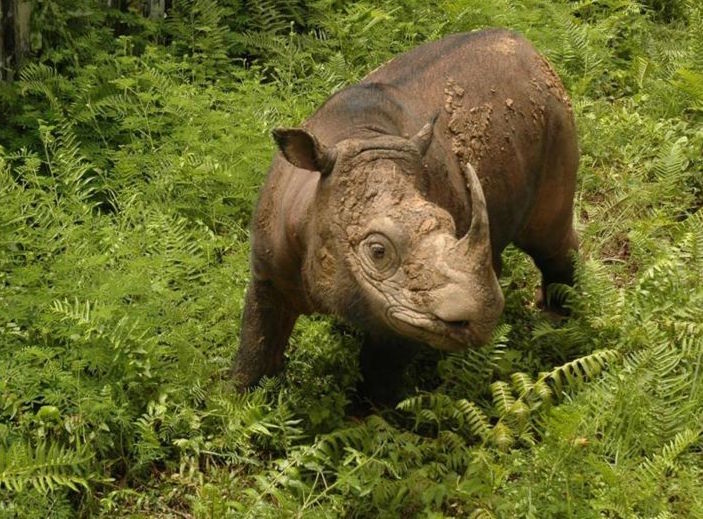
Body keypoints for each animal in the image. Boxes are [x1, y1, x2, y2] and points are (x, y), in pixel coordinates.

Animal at [233, 29, 578, 400]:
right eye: (377, 251)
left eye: (451, 225)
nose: (482, 317)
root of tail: (526, 46)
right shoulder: (267, 272)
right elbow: (255, 349)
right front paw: (241, 400)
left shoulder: (404, 311)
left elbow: (379, 373)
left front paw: (372, 412)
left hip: (554, 111)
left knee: (547, 237)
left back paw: (555, 321)